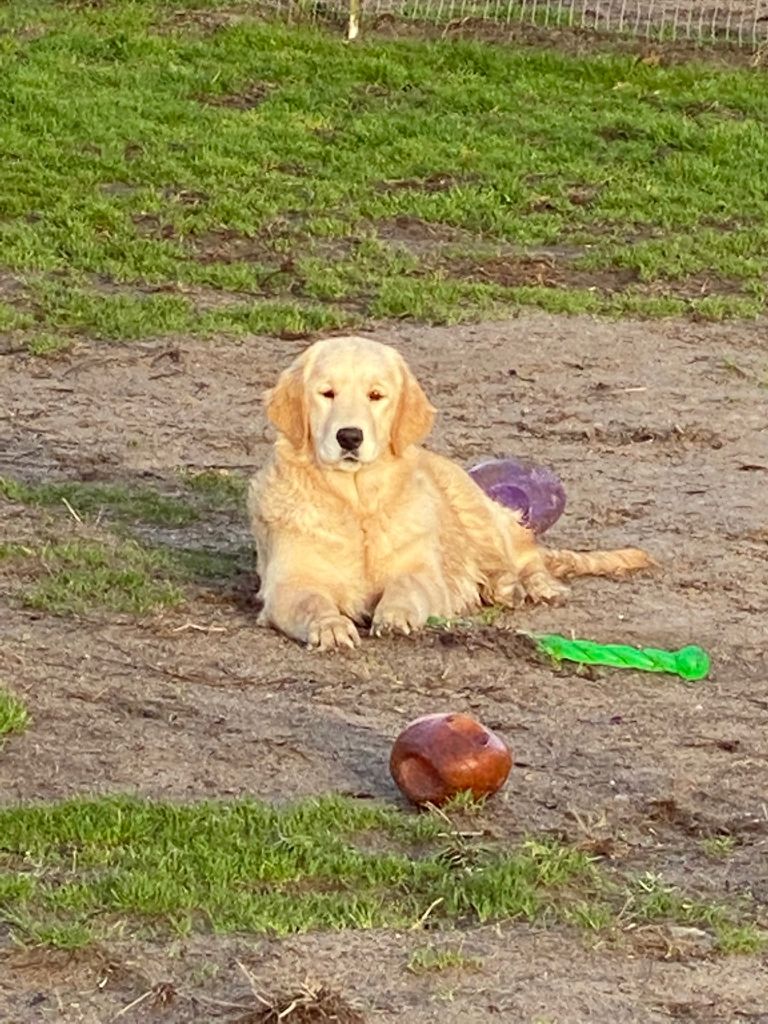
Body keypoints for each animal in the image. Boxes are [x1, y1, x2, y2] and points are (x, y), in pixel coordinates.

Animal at [247, 339, 655, 651]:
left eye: (376, 395)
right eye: (326, 393)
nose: (349, 436)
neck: (358, 501)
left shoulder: (422, 572)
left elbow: (407, 584)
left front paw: (394, 614)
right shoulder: (288, 583)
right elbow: (312, 601)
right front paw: (330, 627)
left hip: (478, 511)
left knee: (526, 556)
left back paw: (530, 586)